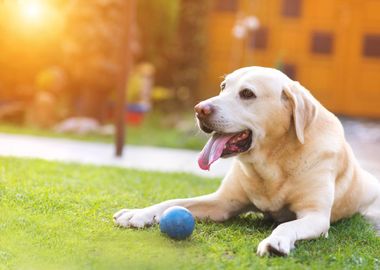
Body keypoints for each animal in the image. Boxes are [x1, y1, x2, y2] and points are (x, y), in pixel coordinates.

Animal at [113, 66, 380, 256]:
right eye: (223, 86)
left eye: (247, 94)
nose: (199, 109)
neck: (272, 162)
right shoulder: (221, 203)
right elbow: (173, 201)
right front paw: (138, 213)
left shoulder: (315, 216)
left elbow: (287, 225)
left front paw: (275, 241)